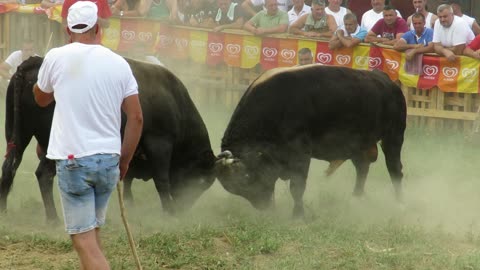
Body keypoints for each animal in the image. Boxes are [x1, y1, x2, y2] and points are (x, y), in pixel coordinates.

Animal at [0, 56, 216, 221]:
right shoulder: (159, 143)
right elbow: (161, 180)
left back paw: (5, 211)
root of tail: (35, 63)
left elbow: (127, 177)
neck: (174, 98)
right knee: (44, 174)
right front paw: (169, 211)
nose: (183, 208)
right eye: (201, 181)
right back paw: (53, 219)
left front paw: (130, 204)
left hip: (17, 135)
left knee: (9, 167)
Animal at [216, 65, 406, 217]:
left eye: (247, 177)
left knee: (394, 169)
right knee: (362, 168)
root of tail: (386, 79)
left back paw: (399, 203)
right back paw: (356, 199)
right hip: (357, 145)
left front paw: (298, 215)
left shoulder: (300, 153)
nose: (263, 206)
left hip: (394, 136)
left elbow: (297, 187)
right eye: (235, 188)